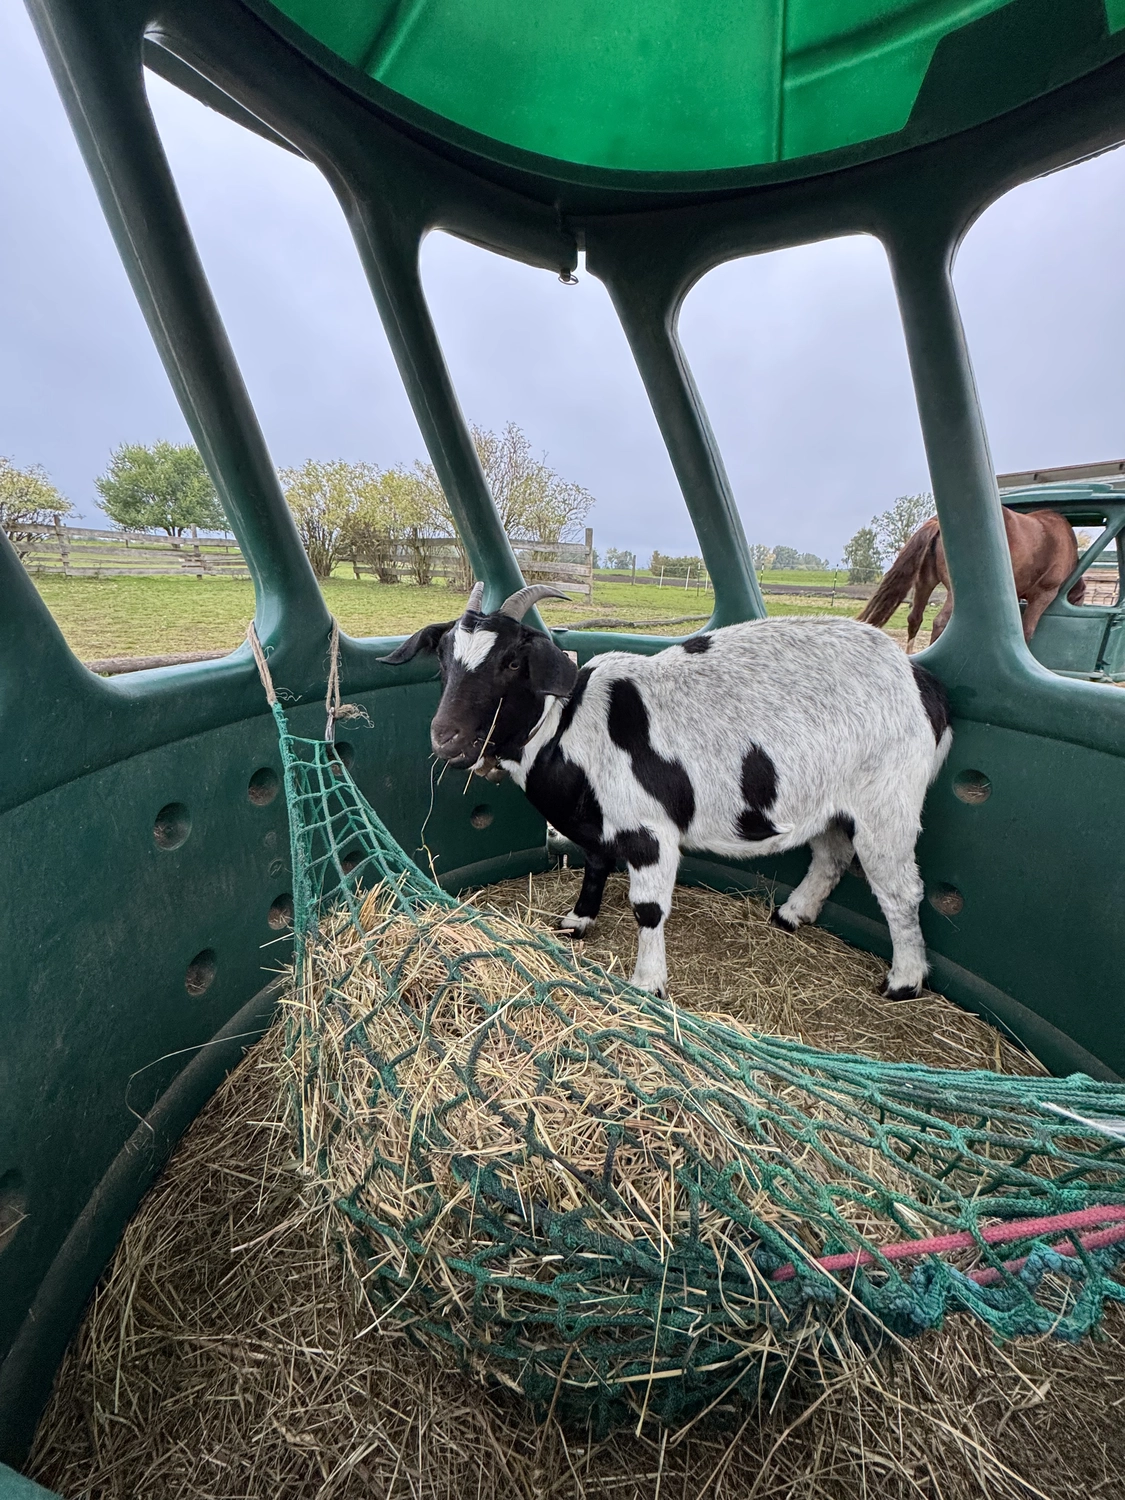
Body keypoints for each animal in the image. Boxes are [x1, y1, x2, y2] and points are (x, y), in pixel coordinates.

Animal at [379, 583, 952, 1000]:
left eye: (513, 662)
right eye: (442, 659)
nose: (445, 737)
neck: (567, 727)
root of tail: (921, 681)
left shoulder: (648, 830)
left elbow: (648, 909)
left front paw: (647, 982)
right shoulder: (599, 820)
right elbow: (594, 860)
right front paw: (578, 920)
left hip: (887, 800)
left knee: (901, 890)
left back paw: (903, 981)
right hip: (833, 801)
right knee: (832, 855)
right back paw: (793, 914)